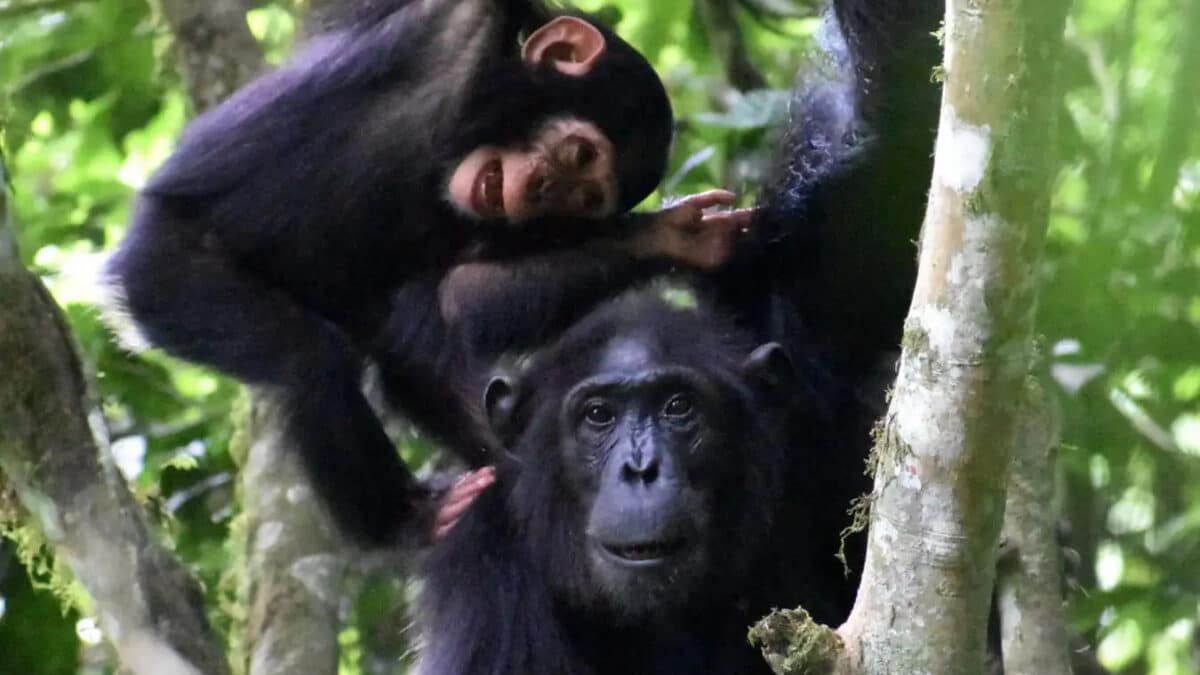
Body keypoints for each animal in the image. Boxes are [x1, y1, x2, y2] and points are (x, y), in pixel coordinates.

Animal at [105, 0, 748, 542]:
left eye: (584, 198)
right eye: (579, 154)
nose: (544, 189)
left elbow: (459, 295)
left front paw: (677, 236)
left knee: (412, 356)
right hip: (164, 276)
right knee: (307, 357)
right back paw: (402, 521)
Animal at [417, 0, 940, 667]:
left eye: (677, 406)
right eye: (598, 416)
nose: (641, 468)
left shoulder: (819, 359)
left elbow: (896, 141)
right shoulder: (482, 569)